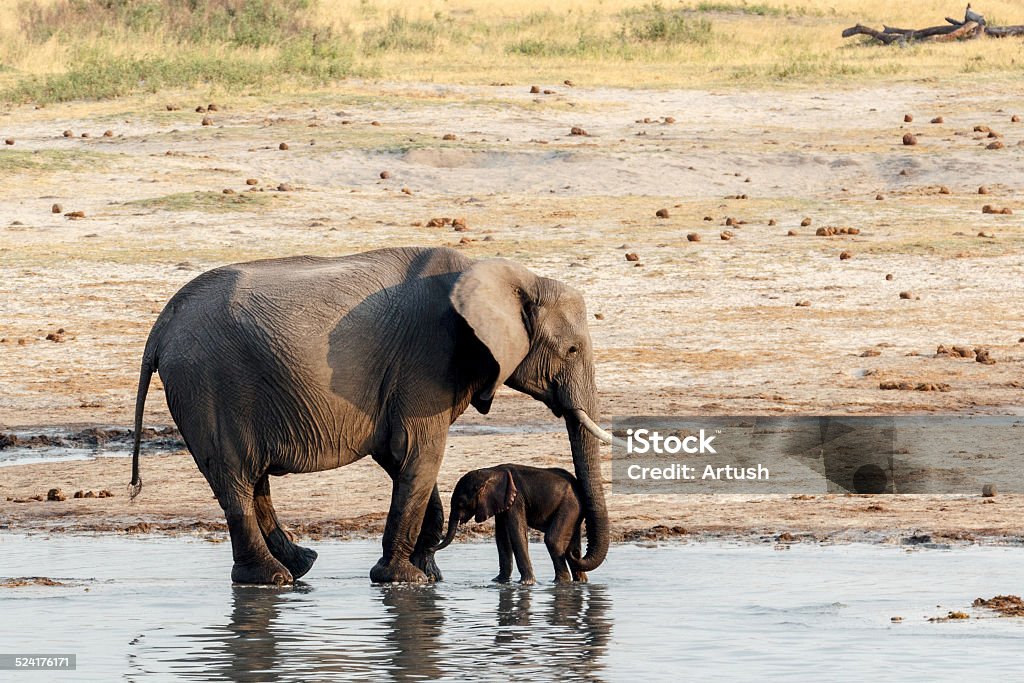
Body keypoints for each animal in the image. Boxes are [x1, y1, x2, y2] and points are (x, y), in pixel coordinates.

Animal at [434, 466, 589, 585]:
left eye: (461, 503)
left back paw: (561, 582)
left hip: (570, 506)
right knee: (572, 547)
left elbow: (516, 532)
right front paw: (499, 582)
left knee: (553, 540)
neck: (491, 472)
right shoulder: (501, 502)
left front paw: (526, 583)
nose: (431, 548)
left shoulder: (516, 499)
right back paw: (580, 581)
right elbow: (502, 536)